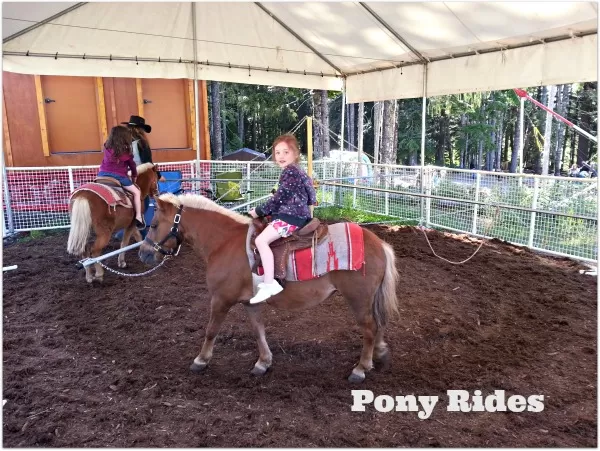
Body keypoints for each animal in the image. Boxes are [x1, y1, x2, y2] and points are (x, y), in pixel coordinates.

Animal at [139, 192, 400, 384]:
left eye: (153, 224)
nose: (143, 253)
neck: (224, 242)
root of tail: (379, 243)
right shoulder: (250, 302)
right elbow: (258, 331)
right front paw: (263, 362)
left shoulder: (221, 299)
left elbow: (211, 330)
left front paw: (201, 360)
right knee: (379, 325)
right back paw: (380, 352)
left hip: (358, 299)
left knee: (369, 329)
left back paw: (360, 368)